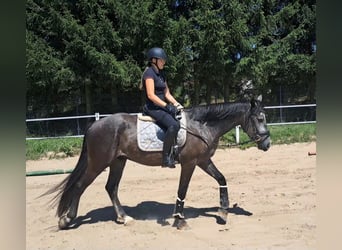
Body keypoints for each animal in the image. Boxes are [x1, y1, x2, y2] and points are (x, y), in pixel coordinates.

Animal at [44, 95, 270, 230]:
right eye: (260, 119)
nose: (267, 144)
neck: (201, 126)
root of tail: (94, 125)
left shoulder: (204, 161)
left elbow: (221, 179)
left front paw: (223, 213)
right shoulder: (189, 163)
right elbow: (182, 190)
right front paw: (179, 220)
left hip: (118, 162)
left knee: (111, 188)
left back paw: (123, 217)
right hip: (98, 163)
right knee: (80, 186)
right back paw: (67, 219)